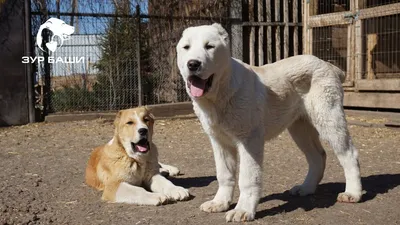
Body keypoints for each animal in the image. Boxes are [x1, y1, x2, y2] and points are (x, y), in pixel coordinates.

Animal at [177, 23, 362, 222]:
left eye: (209, 46)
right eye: (186, 47)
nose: (193, 64)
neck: (219, 94)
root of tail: (329, 65)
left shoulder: (250, 140)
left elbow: (248, 178)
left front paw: (243, 210)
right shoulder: (220, 142)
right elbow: (224, 174)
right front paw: (220, 202)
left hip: (329, 119)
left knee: (349, 154)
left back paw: (353, 193)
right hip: (300, 128)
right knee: (318, 156)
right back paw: (306, 188)